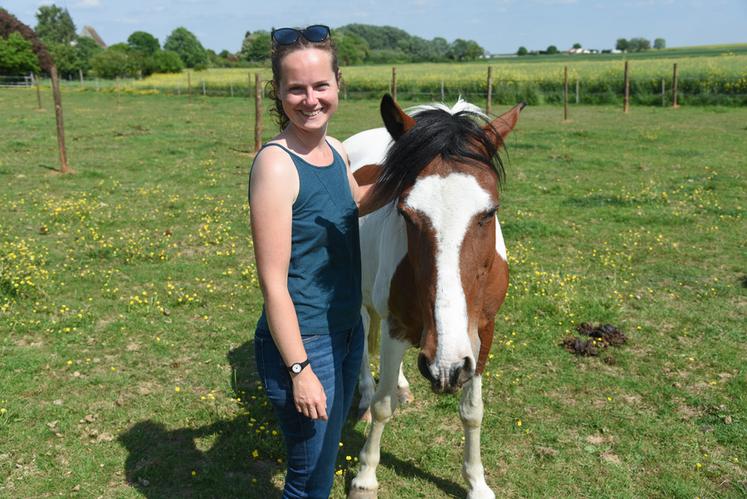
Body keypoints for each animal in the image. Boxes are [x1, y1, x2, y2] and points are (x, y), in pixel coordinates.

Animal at [342, 94, 524, 499]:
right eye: (406, 212)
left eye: (489, 212)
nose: (445, 368)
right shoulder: (396, 325)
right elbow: (382, 408)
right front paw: (364, 478)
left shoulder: (483, 331)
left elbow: (472, 410)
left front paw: (477, 482)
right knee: (363, 347)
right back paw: (364, 395)